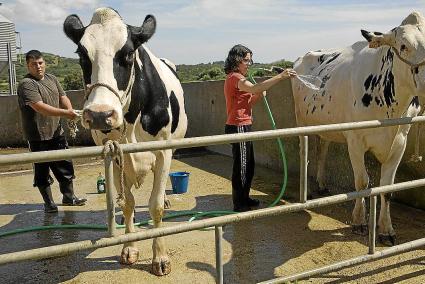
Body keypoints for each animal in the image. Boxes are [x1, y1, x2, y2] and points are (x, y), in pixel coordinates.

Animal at [63, 7, 187, 276]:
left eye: (129, 53)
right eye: (81, 54)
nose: (100, 114)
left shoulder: (162, 151)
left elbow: (155, 205)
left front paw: (160, 257)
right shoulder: (113, 154)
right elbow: (128, 204)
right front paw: (129, 247)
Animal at [290, 12, 424, 245]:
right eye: (404, 45)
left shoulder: (400, 141)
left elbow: (387, 188)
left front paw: (386, 230)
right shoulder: (355, 141)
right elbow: (362, 183)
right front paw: (359, 222)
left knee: (322, 150)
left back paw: (322, 184)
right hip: (301, 123)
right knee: (304, 154)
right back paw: (304, 195)